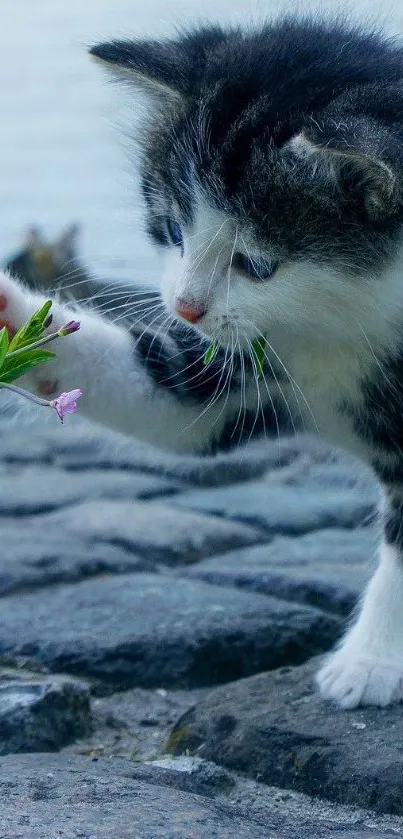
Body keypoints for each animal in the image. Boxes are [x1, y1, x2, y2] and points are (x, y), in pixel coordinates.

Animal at [2, 14, 403, 708]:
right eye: (171, 229)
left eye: (257, 265)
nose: (185, 307)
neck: (347, 325)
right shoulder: (255, 358)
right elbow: (175, 405)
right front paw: (10, 313)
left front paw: (370, 663)